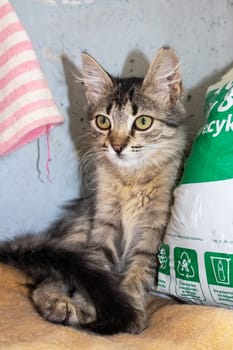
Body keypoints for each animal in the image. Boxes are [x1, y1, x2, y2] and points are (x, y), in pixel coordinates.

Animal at [0, 46, 187, 334]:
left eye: (143, 122)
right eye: (103, 122)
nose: (118, 147)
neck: (130, 179)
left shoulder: (153, 230)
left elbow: (139, 272)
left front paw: (131, 312)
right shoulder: (103, 220)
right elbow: (97, 268)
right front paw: (89, 307)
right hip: (78, 230)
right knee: (49, 278)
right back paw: (57, 303)